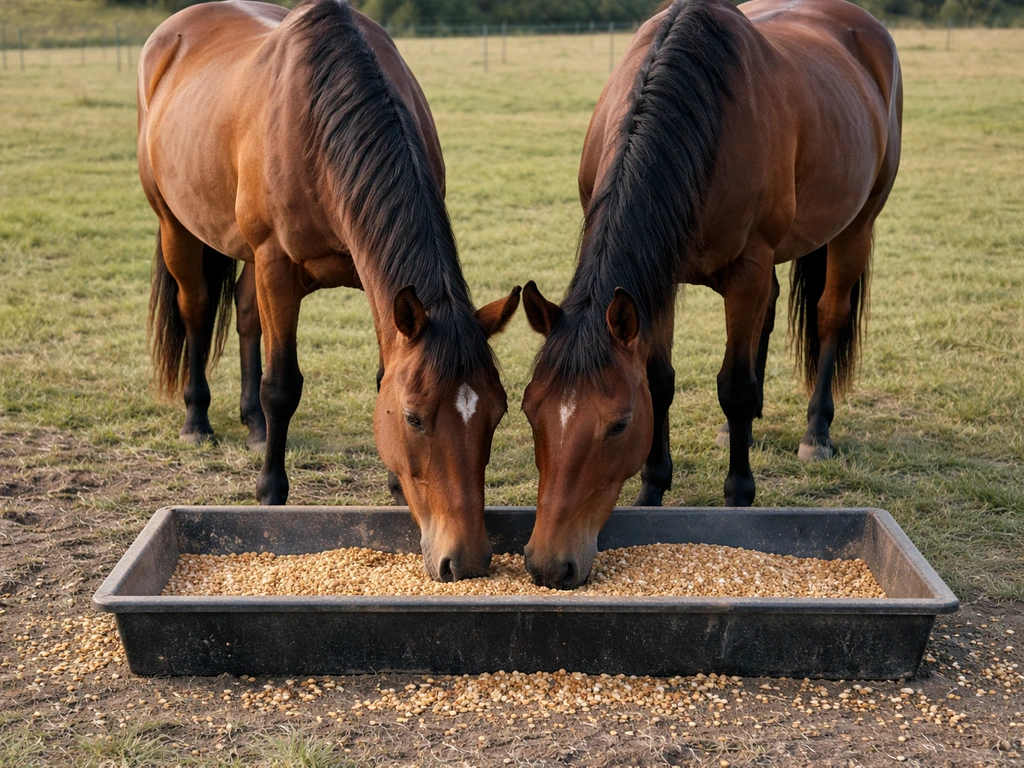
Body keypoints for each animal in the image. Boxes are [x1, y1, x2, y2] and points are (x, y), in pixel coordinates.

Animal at [138, 0, 521, 581]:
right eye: (415, 417)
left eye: (498, 412)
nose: (468, 561)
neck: (318, 124)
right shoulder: (276, 266)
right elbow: (282, 386)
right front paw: (270, 492)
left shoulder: (371, 282)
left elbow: (380, 374)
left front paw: (393, 487)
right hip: (175, 227)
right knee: (197, 309)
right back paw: (197, 420)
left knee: (246, 316)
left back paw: (253, 424)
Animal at [520, 0, 902, 589]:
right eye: (529, 409)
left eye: (619, 425)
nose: (548, 564)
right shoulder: (659, 279)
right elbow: (660, 380)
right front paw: (653, 488)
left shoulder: (746, 269)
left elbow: (734, 387)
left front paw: (738, 496)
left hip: (856, 227)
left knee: (830, 318)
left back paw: (816, 434)